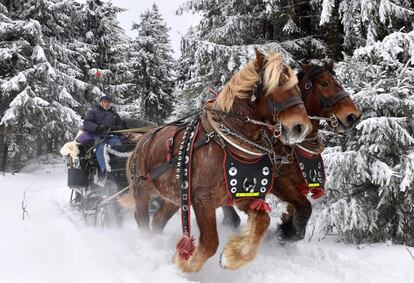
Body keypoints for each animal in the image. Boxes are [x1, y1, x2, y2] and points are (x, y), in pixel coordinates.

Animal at [124, 50, 312, 274]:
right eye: (277, 84)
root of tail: (140, 142)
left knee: (158, 220)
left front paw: (232, 256)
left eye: (297, 85)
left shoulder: (244, 195)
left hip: (173, 198)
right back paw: (147, 244)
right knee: (141, 218)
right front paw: (184, 262)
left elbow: (262, 222)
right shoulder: (202, 198)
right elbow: (210, 242)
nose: (301, 128)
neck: (229, 142)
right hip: (142, 191)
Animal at [222, 60, 360, 242]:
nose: (353, 116)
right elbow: (304, 208)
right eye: (324, 83)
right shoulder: (280, 183)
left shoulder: (298, 183)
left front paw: (287, 226)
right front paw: (288, 232)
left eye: (339, 83)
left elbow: (299, 209)